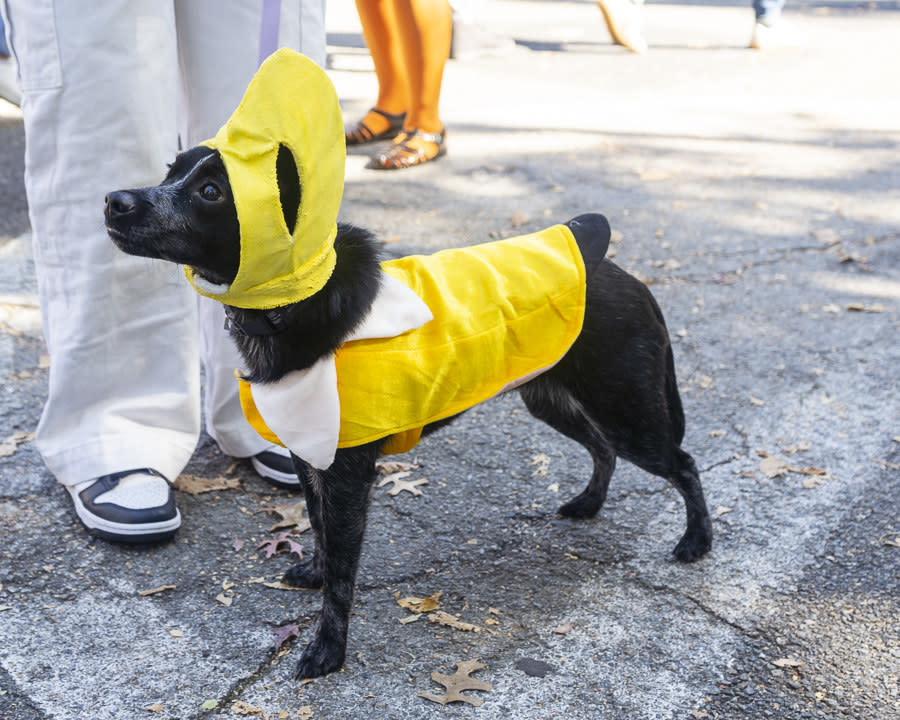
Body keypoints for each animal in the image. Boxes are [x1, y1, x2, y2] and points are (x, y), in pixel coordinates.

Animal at [103, 145, 712, 680]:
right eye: (170, 171)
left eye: (211, 191)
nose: (114, 200)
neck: (291, 305)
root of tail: (633, 280)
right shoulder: (309, 455)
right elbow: (319, 530)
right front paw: (315, 573)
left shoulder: (348, 474)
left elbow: (343, 572)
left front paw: (327, 651)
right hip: (553, 400)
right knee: (603, 448)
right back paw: (589, 504)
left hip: (627, 408)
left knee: (682, 463)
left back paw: (696, 543)